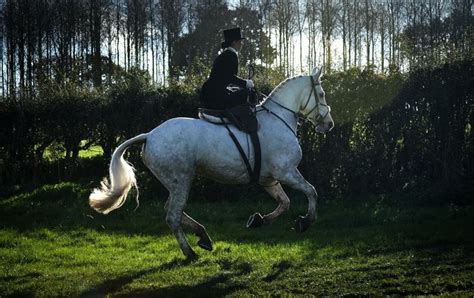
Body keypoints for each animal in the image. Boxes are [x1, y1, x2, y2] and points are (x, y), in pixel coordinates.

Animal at [89, 67, 334, 258]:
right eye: (321, 94)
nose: (329, 124)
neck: (278, 118)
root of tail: (149, 135)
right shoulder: (286, 172)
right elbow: (311, 192)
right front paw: (305, 221)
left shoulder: (269, 179)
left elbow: (284, 203)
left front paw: (257, 220)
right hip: (181, 180)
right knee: (173, 215)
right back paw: (190, 252)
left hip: (175, 183)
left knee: (172, 209)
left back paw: (203, 236)